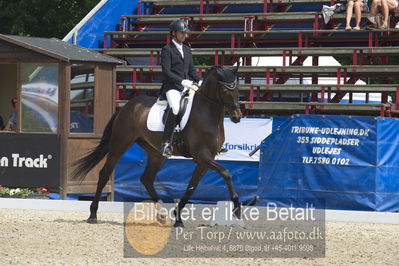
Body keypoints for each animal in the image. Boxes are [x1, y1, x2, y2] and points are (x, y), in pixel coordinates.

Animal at [72, 65, 244, 227]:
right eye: (225, 89)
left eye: (237, 88)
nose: (237, 117)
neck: (208, 114)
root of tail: (126, 107)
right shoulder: (201, 155)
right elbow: (226, 173)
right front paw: (237, 209)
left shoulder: (206, 158)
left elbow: (192, 186)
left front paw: (178, 218)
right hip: (120, 143)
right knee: (104, 174)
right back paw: (93, 215)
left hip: (155, 153)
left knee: (146, 179)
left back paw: (162, 214)